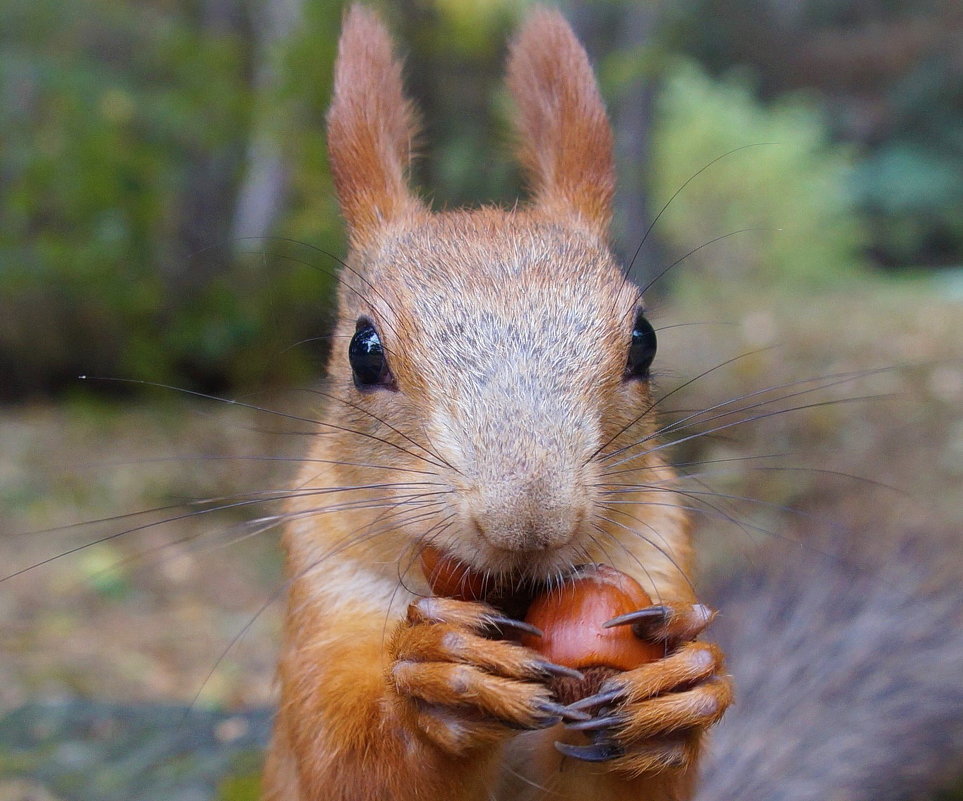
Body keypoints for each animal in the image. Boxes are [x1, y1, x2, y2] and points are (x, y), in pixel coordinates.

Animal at [258, 6, 963, 800]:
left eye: (644, 340)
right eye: (364, 351)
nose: (528, 518)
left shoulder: (658, 555)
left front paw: (676, 691)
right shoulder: (325, 594)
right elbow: (352, 763)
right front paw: (443, 684)